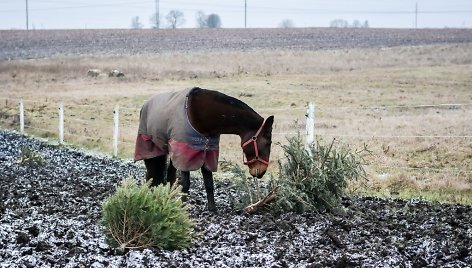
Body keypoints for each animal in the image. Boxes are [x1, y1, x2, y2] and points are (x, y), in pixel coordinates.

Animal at [134, 87, 272, 211]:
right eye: (267, 143)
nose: (261, 172)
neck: (201, 115)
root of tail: (145, 104)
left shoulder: (208, 153)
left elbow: (209, 183)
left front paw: (212, 209)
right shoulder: (185, 155)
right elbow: (185, 184)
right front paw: (182, 208)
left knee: (170, 177)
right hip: (150, 150)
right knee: (151, 175)